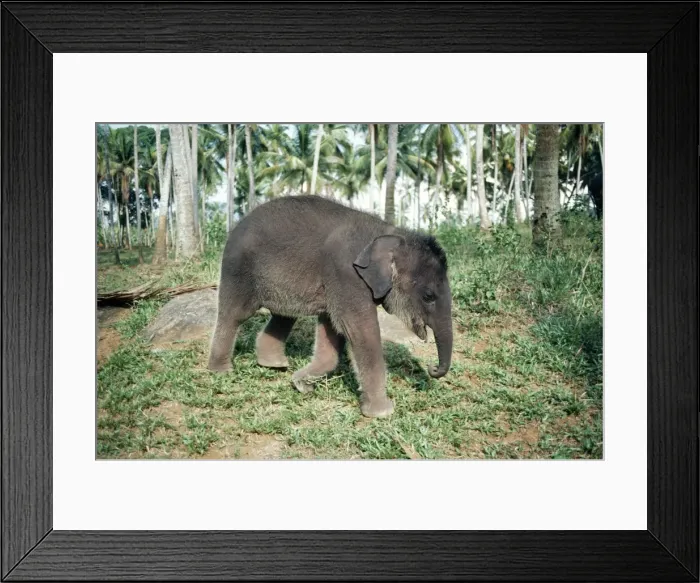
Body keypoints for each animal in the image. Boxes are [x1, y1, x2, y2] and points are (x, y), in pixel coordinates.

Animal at [207, 195, 452, 418]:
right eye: (428, 296)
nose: (432, 368)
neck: (389, 232)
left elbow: (332, 330)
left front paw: (301, 384)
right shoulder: (346, 273)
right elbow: (360, 330)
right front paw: (383, 412)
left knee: (284, 316)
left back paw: (274, 365)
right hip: (238, 268)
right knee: (235, 314)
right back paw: (221, 371)